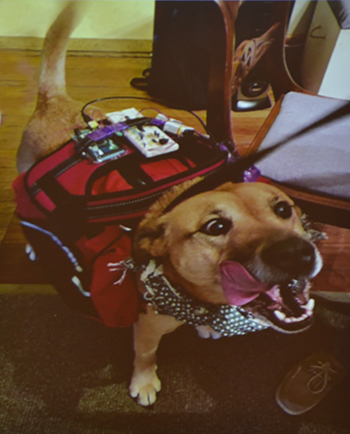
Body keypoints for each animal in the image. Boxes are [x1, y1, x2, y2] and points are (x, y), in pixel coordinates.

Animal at [16, 2, 322, 406]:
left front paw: (206, 328)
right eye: (215, 227)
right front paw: (144, 382)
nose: (298, 254)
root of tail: (55, 101)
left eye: (284, 209)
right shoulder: (146, 325)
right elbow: (146, 354)